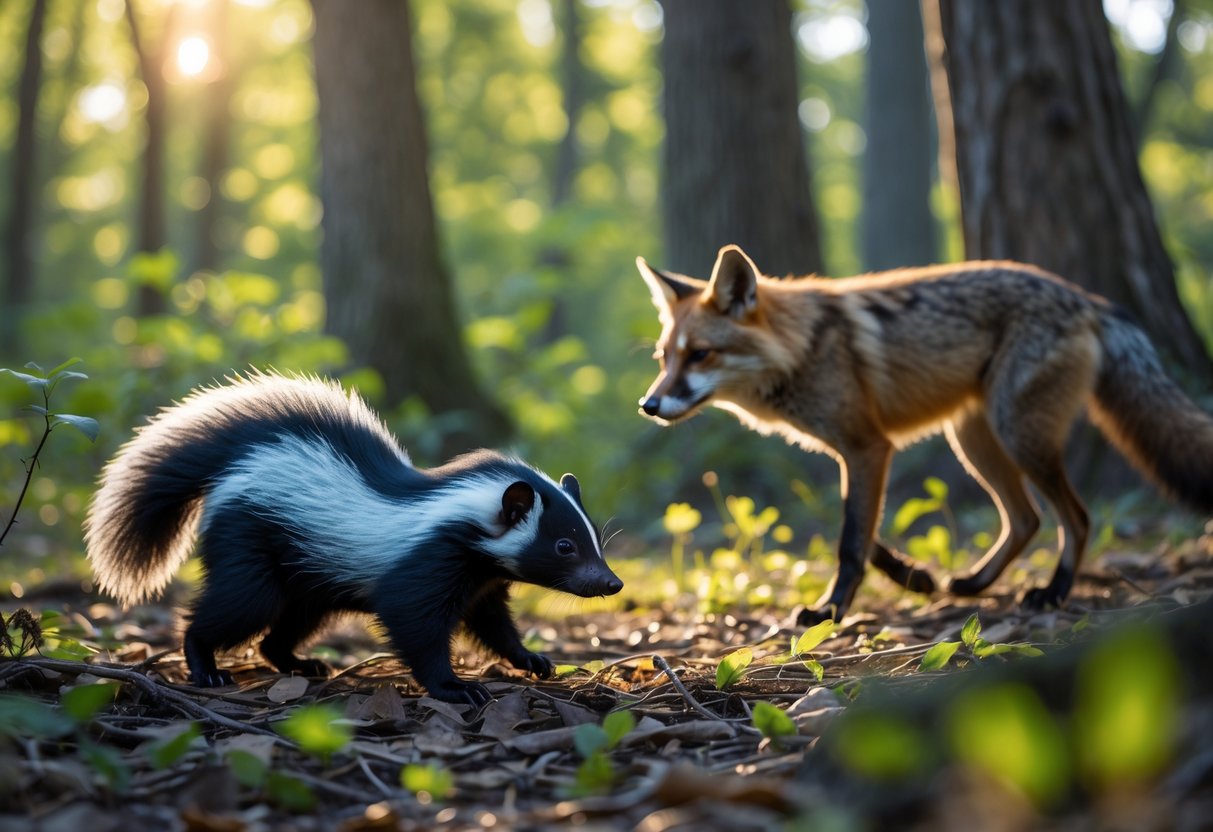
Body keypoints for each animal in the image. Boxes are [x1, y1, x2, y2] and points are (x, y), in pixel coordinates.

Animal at [637, 243, 1213, 624]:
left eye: (701, 354)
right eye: (664, 358)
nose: (649, 405)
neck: (802, 347)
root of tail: (1084, 297)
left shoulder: (869, 447)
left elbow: (851, 541)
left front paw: (830, 611)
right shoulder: (855, 453)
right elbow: (860, 531)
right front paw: (913, 577)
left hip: (1018, 436)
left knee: (1077, 517)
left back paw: (1053, 592)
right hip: (973, 440)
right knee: (1025, 519)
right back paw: (974, 583)